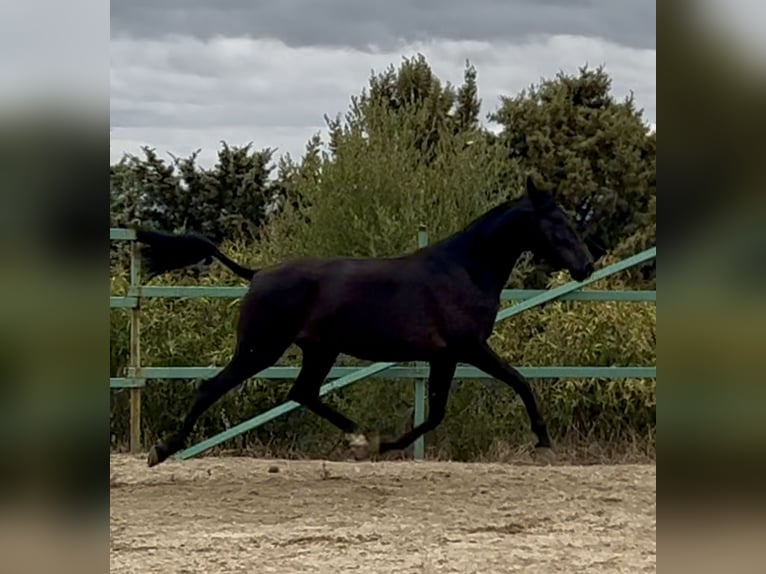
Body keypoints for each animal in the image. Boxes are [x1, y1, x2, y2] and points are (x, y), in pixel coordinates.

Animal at [136, 176, 592, 468]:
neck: (464, 267)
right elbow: (519, 381)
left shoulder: (444, 357)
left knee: (303, 393)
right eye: (558, 222)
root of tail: (259, 274)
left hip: (319, 350)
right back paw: (161, 451)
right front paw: (544, 441)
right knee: (211, 388)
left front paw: (383, 446)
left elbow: (436, 413)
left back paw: (360, 437)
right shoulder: (469, 348)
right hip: (261, 348)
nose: (587, 266)